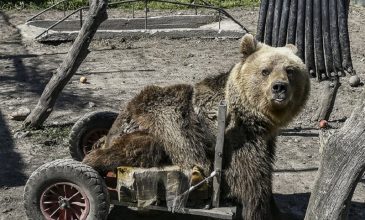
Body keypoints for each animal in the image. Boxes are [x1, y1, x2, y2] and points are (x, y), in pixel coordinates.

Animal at [83, 33, 310, 219]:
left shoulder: (265, 140)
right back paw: (91, 162)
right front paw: (259, 210)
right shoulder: (236, 140)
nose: (279, 87)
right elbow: (252, 184)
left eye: (290, 70)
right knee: (136, 148)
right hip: (154, 128)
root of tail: (118, 123)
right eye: (265, 71)